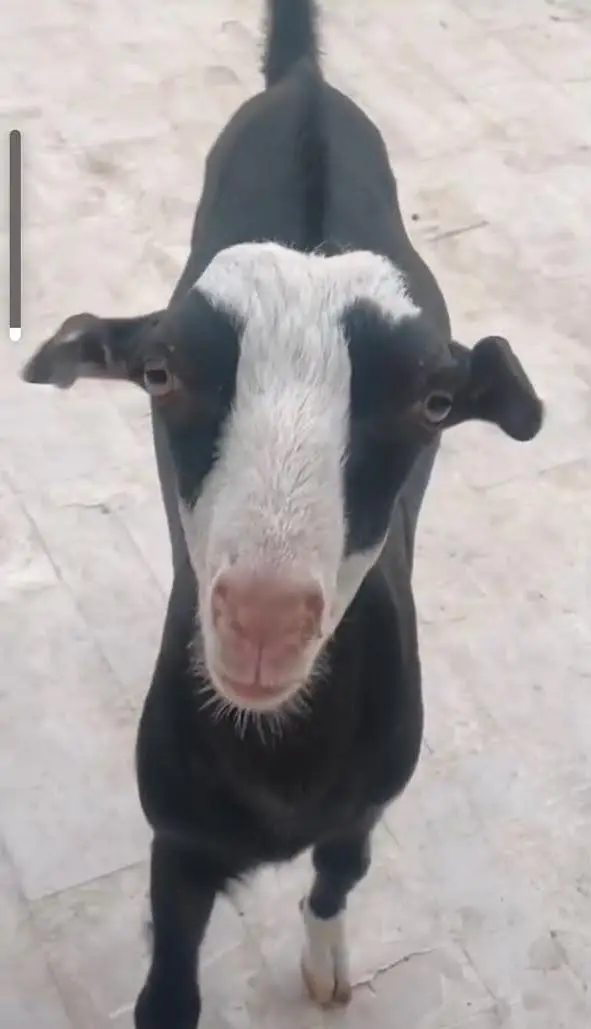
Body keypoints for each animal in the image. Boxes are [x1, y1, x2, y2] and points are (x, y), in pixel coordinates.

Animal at [21, 1, 543, 1026]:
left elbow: (339, 876)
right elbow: (166, 993)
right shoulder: (176, 839)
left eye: (433, 403)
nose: (263, 619)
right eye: (159, 373)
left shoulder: (365, 804)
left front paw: (328, 964)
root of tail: (301, 84)